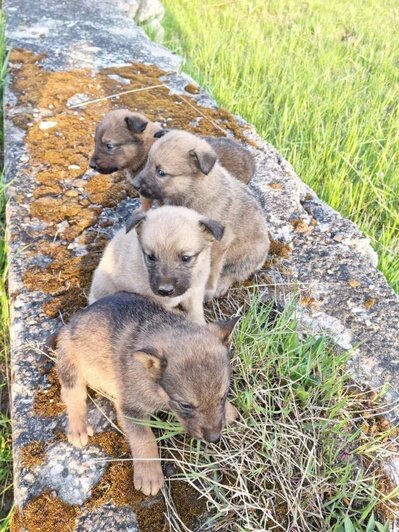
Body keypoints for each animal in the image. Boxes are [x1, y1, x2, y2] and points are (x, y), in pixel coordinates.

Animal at [54, 290, 239, 494]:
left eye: (223, 395)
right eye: (185, 405)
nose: (214, 439)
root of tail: (74, 320)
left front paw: (229, 411)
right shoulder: (132, 408)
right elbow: (144, 439)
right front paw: (149, 476)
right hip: (69, 363)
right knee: (72, 395)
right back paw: (78, 428)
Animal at [133, 130, 270, 300]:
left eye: (161, 173)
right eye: (147, 162)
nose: (134, 185)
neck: (194, 191)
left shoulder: (220, 243)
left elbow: (213, 268)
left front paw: (208, 290)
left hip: (250, 255)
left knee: (235, 273)